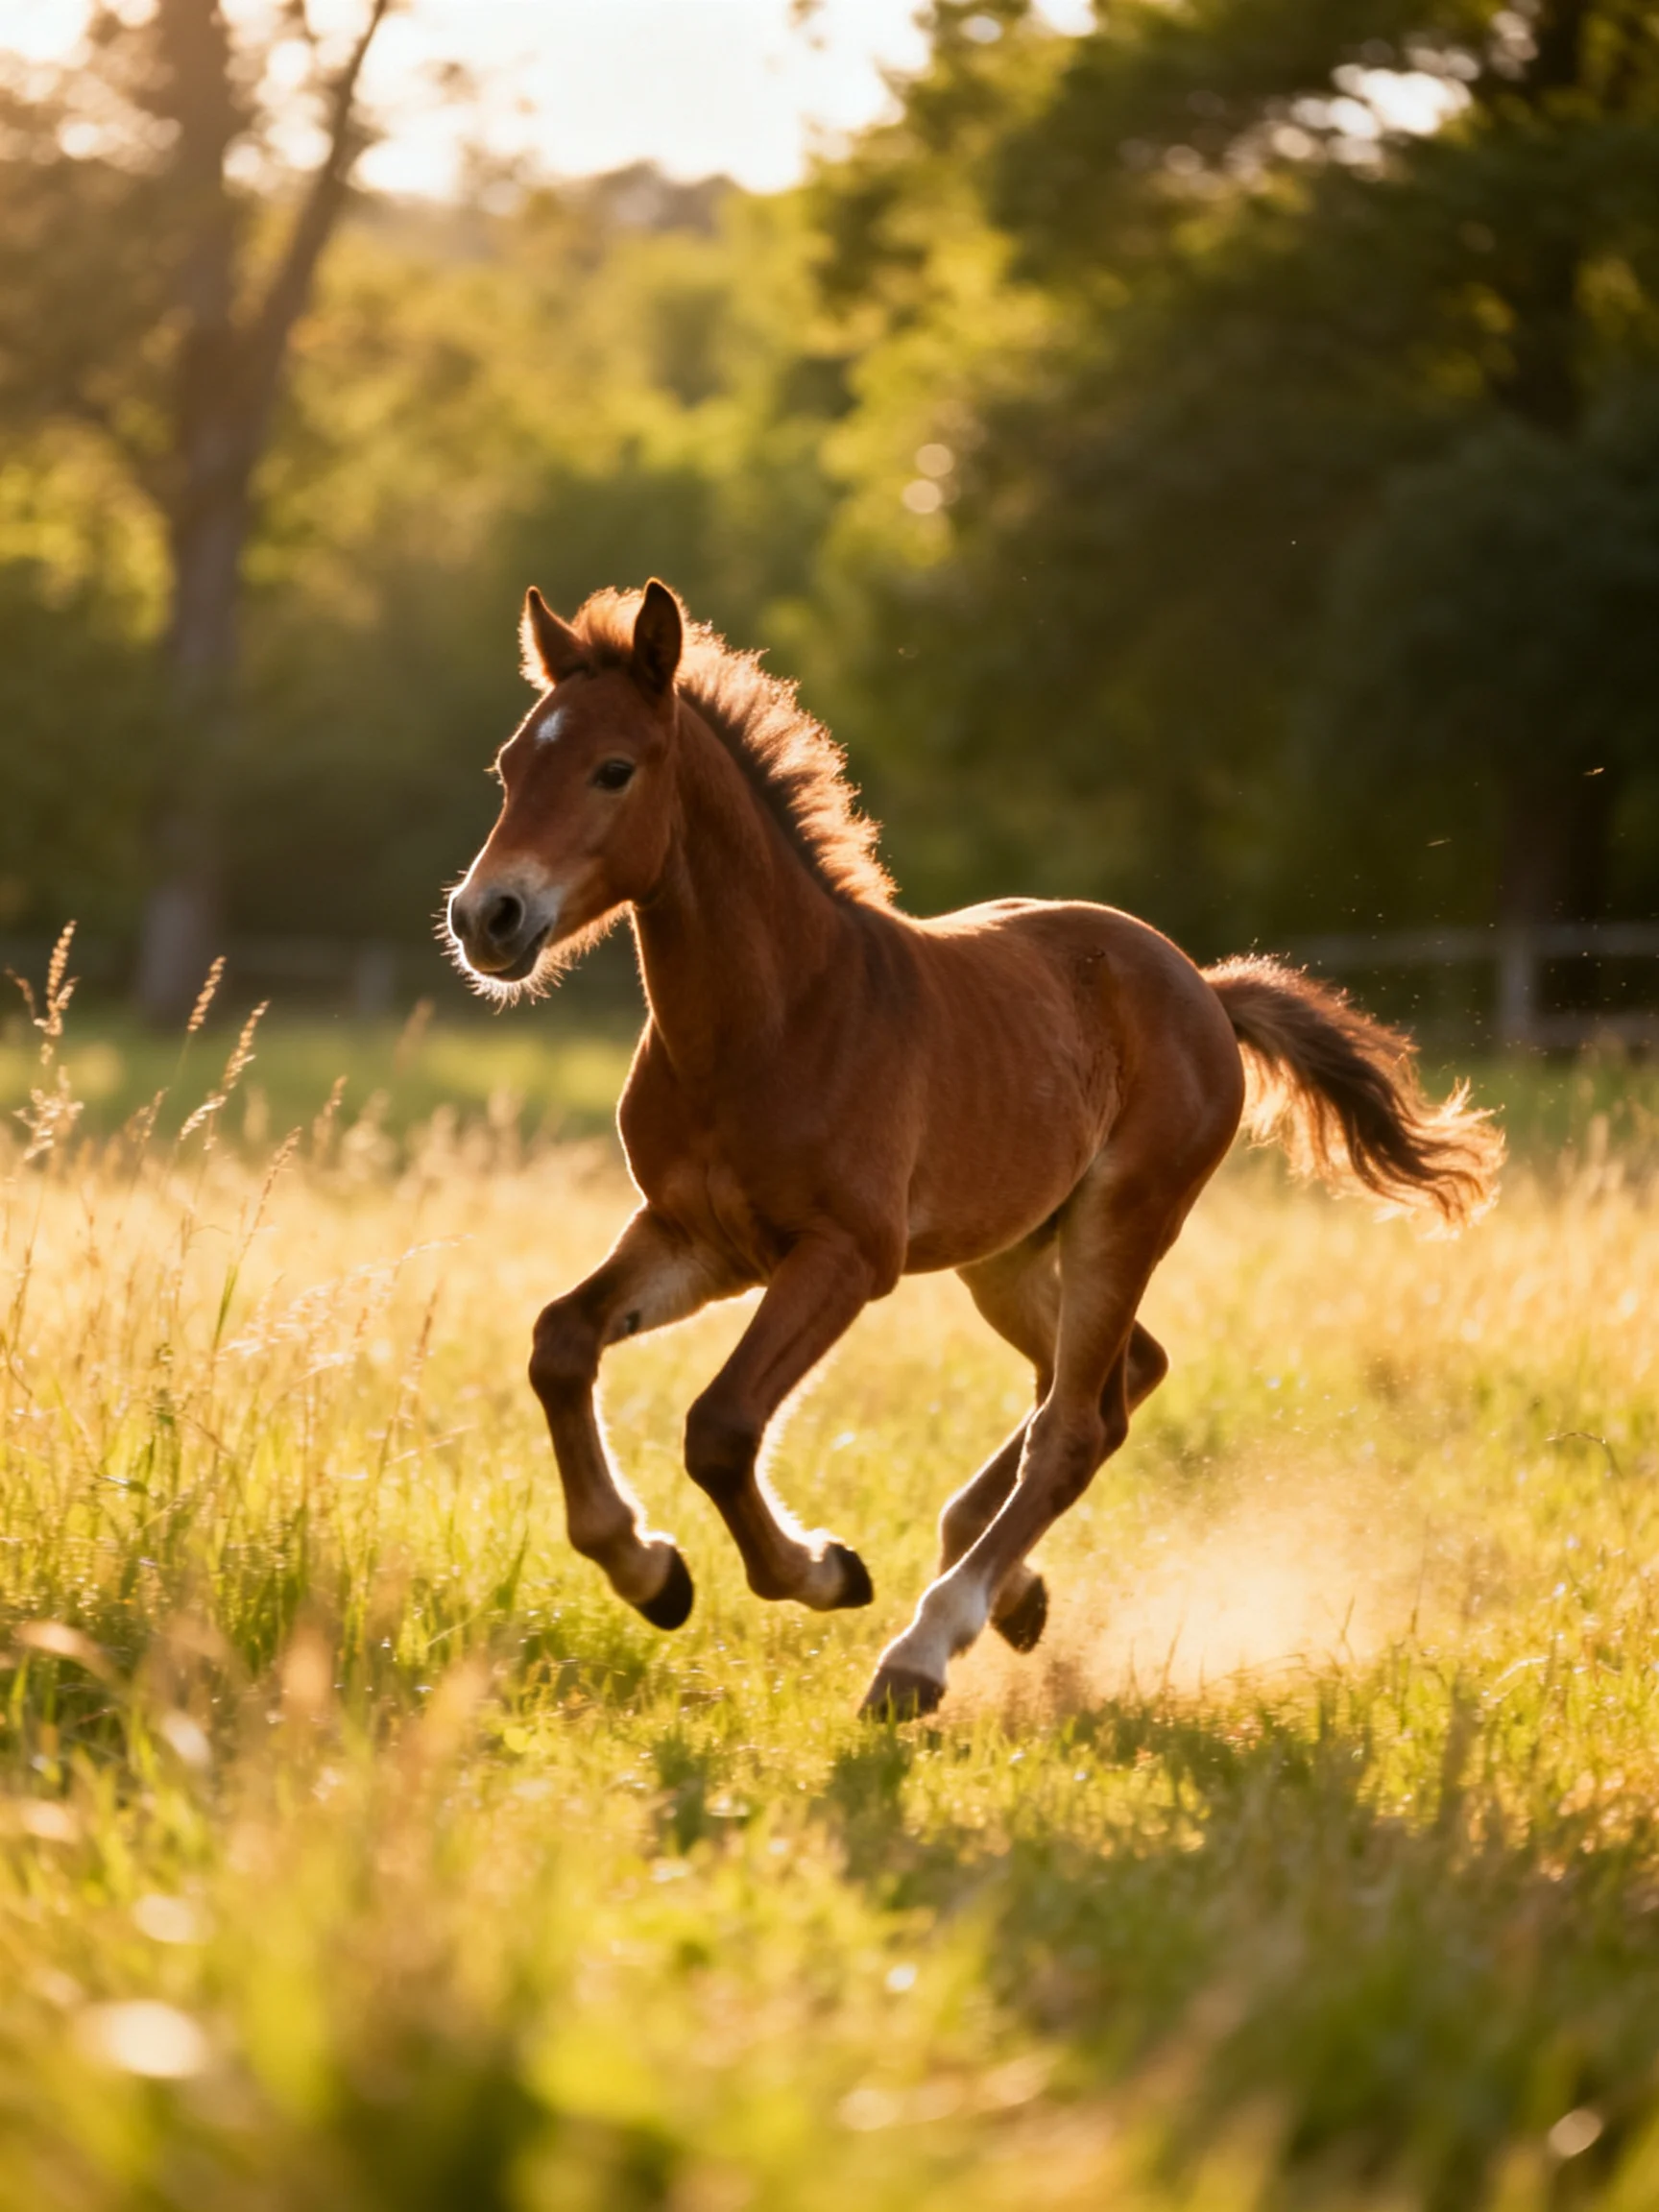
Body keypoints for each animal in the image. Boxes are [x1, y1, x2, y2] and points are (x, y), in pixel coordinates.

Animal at [445, 579, 1501, 1718]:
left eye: (613, 769)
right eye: (509, 766)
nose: (486, 916)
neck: (771, 1018)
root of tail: (1205, 991)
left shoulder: (847, 1255)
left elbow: (721, 1426)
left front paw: (820, 1571)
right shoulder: (697, 1236)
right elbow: (561, 1342)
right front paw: (649, 1570)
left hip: (1122, 1221)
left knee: (1073, 1428)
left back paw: (920, 1650)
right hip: (1007, 1255)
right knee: (1118, 1381)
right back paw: (1005, 1589)